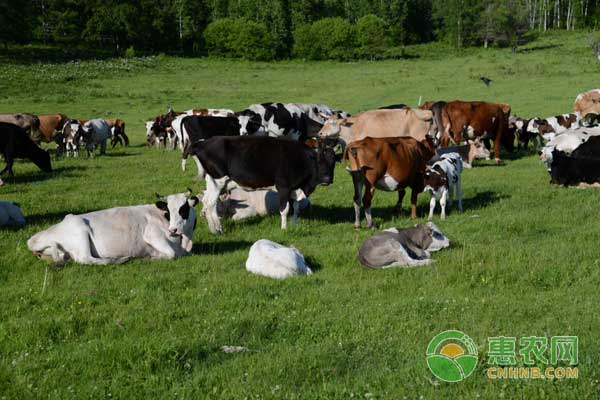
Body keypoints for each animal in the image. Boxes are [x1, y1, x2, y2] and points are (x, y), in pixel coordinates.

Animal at [27, 191, 200, 266]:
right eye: (168, 210)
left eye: (183, 209)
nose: (173, 230)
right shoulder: (151, 235)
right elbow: (171, 254)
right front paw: (153, 257)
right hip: (80, 230)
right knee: (85, 259)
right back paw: (117, 260)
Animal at [193, 136, 340, 233]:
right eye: (319, 160)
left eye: (333, 161)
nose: (327, 179)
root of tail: (203, 142)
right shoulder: (283, 187)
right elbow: (285, 209)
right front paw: (284, 228)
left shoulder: (295, 188)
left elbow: (296, 208)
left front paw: (294, 225)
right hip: (217, 181)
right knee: (211, 203)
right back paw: (218, 229)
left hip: (217, 183)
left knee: (207, 202)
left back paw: (213, 229)